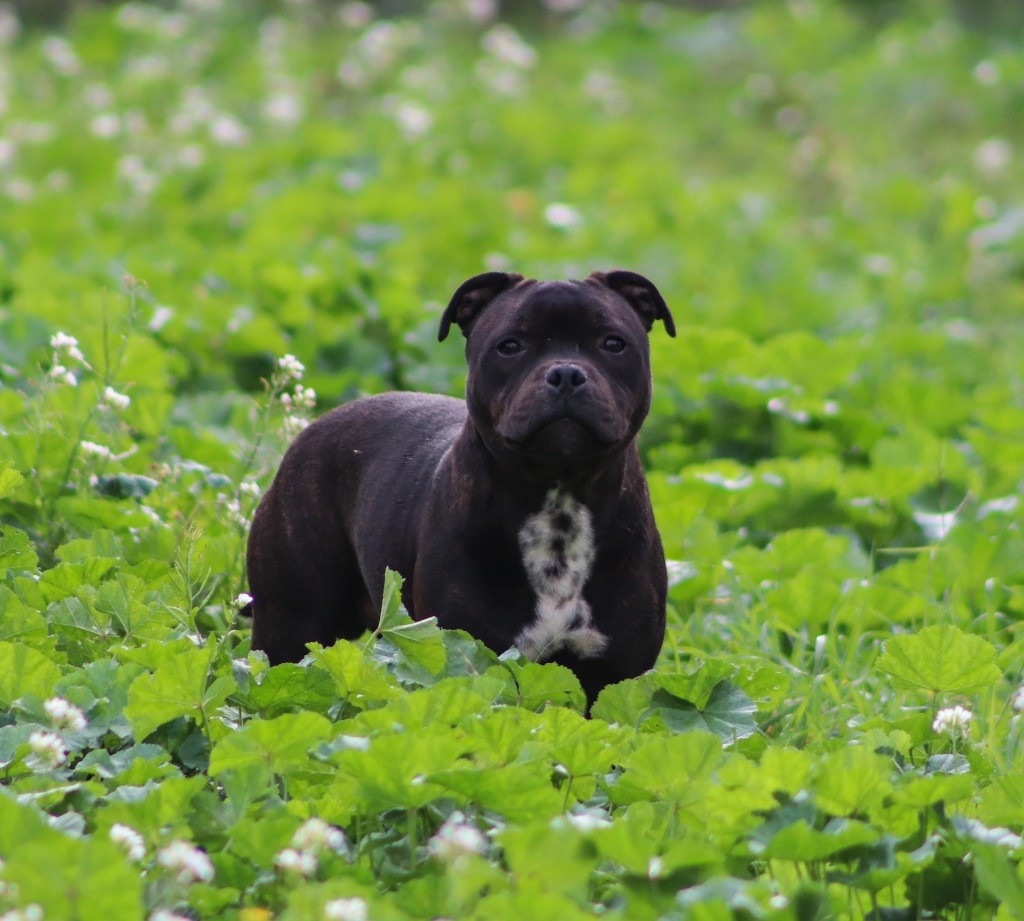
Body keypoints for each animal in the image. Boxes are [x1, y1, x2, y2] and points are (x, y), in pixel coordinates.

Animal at [244, 270, 675, 700]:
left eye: (613, 343)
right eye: (510, 346)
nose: (565, 373)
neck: (559, 495)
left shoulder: (615, 675)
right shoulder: (468, 653)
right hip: (291, 623)